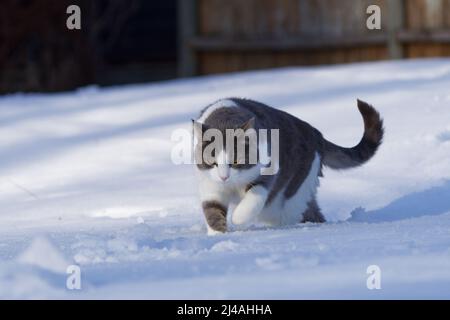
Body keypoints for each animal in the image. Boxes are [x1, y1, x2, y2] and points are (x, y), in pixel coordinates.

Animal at [192, 96, 384, 234]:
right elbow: (212, 210)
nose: (224, 177)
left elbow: (255, 196)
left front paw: (238, 218)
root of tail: (317, 135)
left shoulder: (267, 174)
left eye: (236, 161)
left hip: (288, 196)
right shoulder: (210, 185)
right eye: (212, 162)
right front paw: (218, 235)